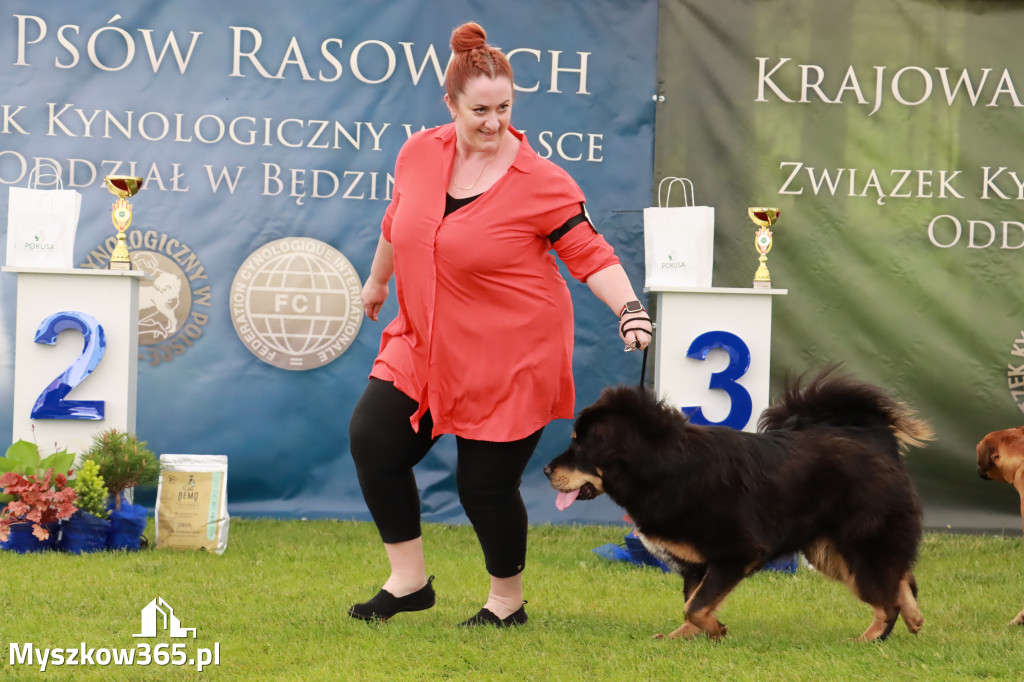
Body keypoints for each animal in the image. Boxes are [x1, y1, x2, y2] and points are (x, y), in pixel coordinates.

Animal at [548, 366, 933, 638]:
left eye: (579, 444)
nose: (546, 470)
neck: (664, 466)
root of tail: (874, 437)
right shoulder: (697, 565)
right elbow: (693, 603)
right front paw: (686, 636)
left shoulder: (736, 552)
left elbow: (696, 606)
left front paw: (714, 630)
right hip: (831, 551)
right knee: (901, 580)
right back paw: (913, 619)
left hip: (858, 546)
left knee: (887, 598)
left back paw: (869, 638)